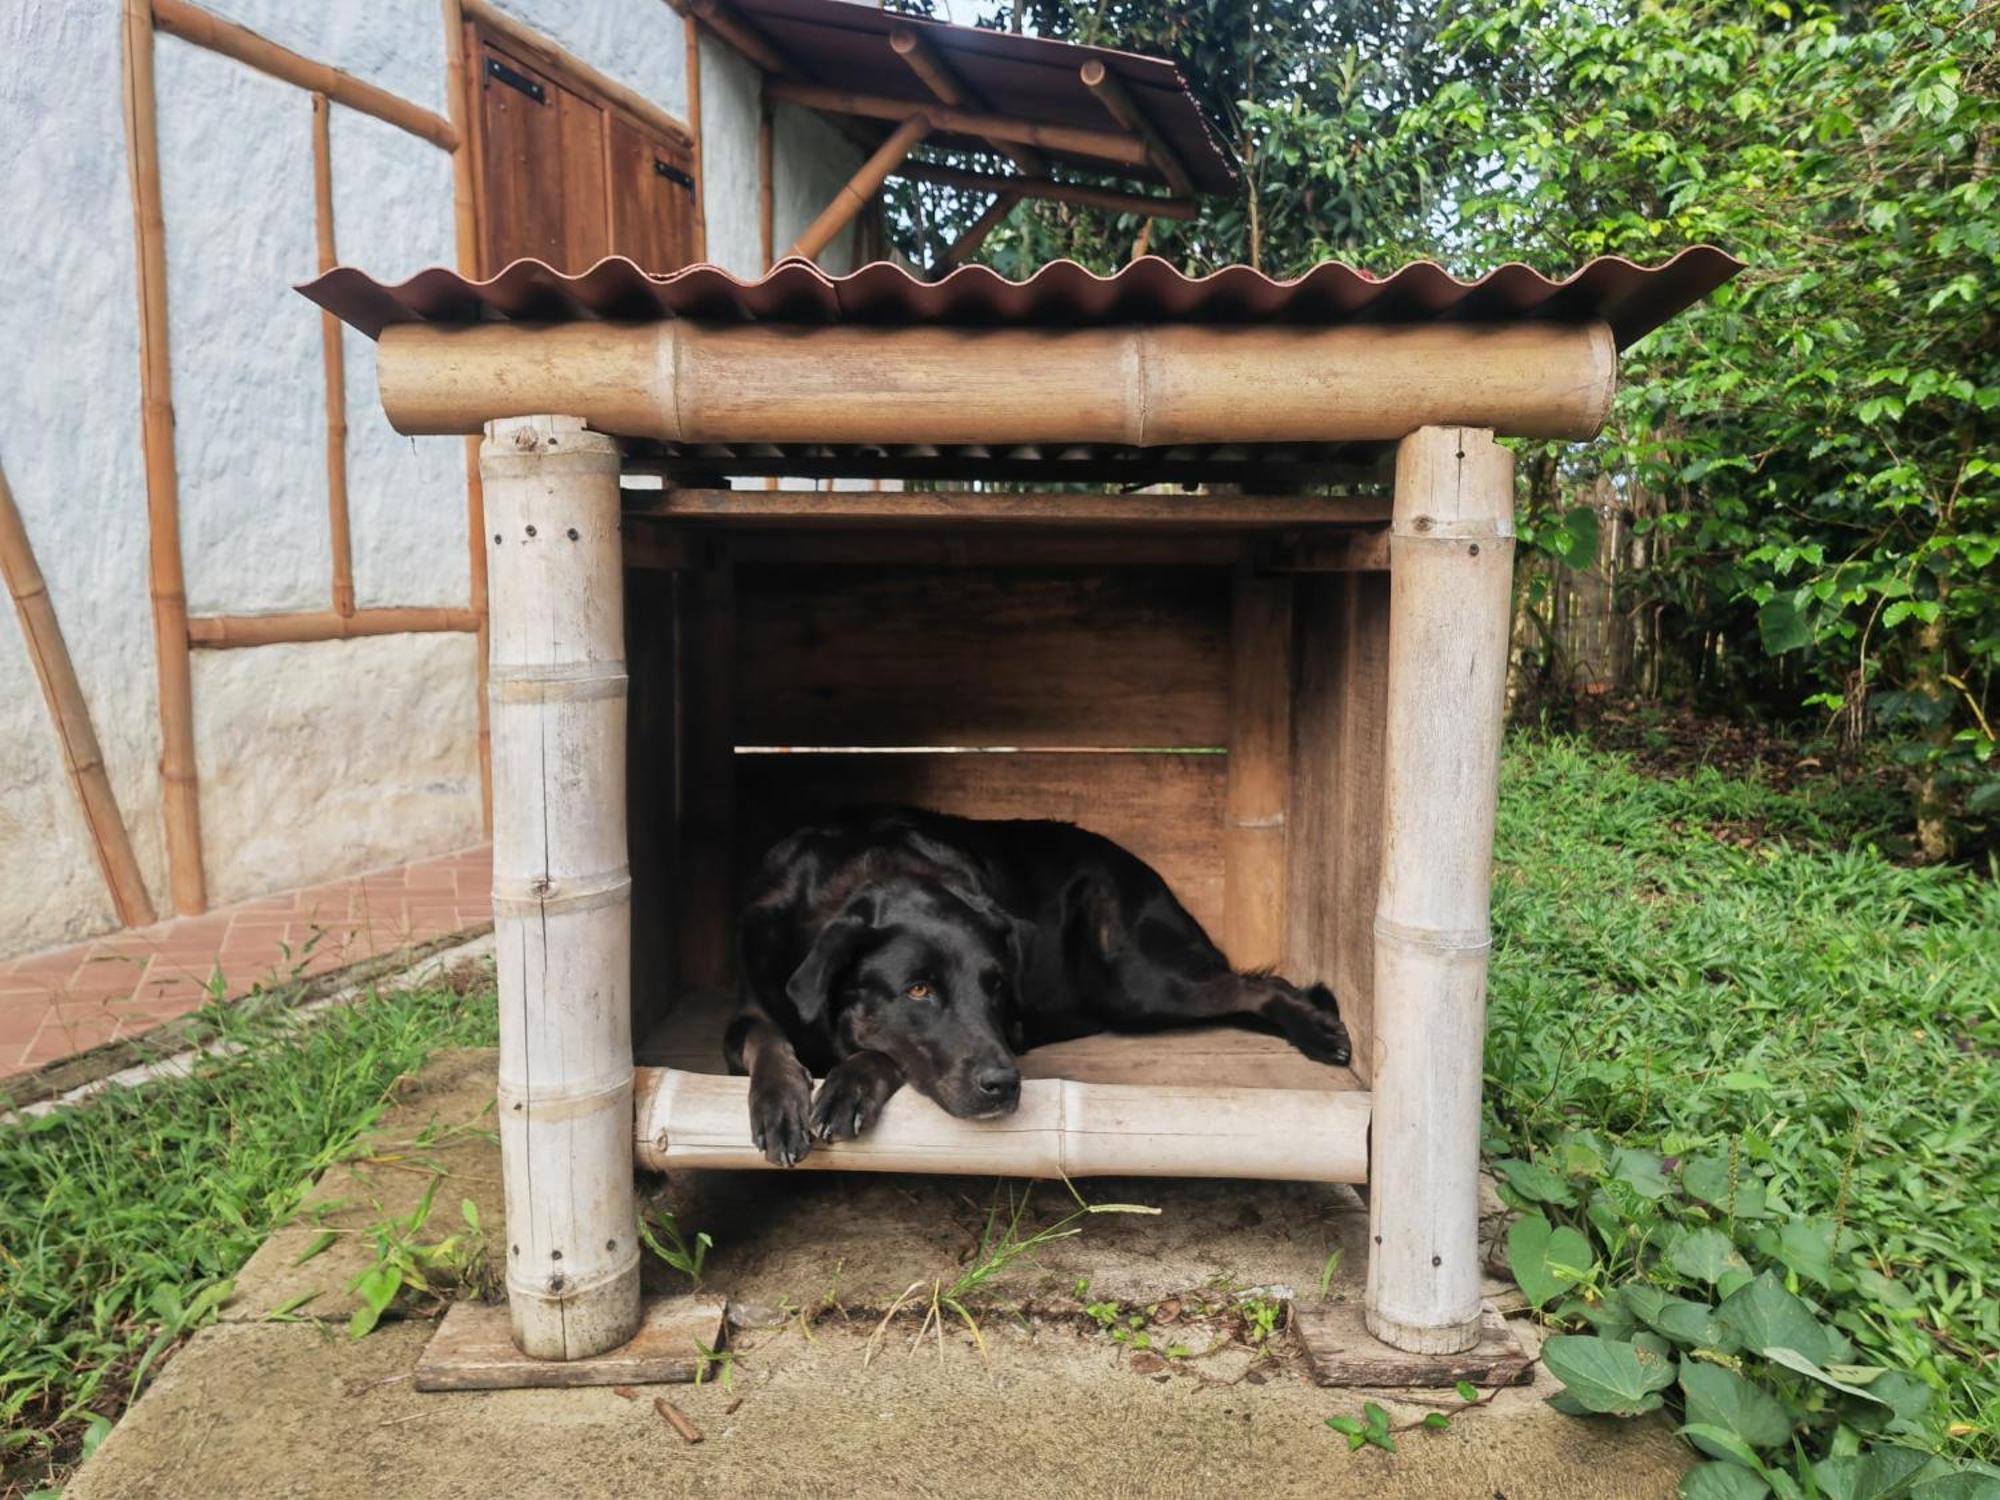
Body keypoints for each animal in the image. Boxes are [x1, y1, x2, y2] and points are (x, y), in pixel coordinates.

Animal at [728, 804, 1352, 1168]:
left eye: (997, 986)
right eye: (919, 991)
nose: (1003, 1085)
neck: (867, 870)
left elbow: (882, 1052)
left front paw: (849, 1085)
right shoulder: (749, 1008)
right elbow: (763, 1038)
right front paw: (779, 1101)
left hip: (1135, 984)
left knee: (1259, 985)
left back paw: (1320, 1031)